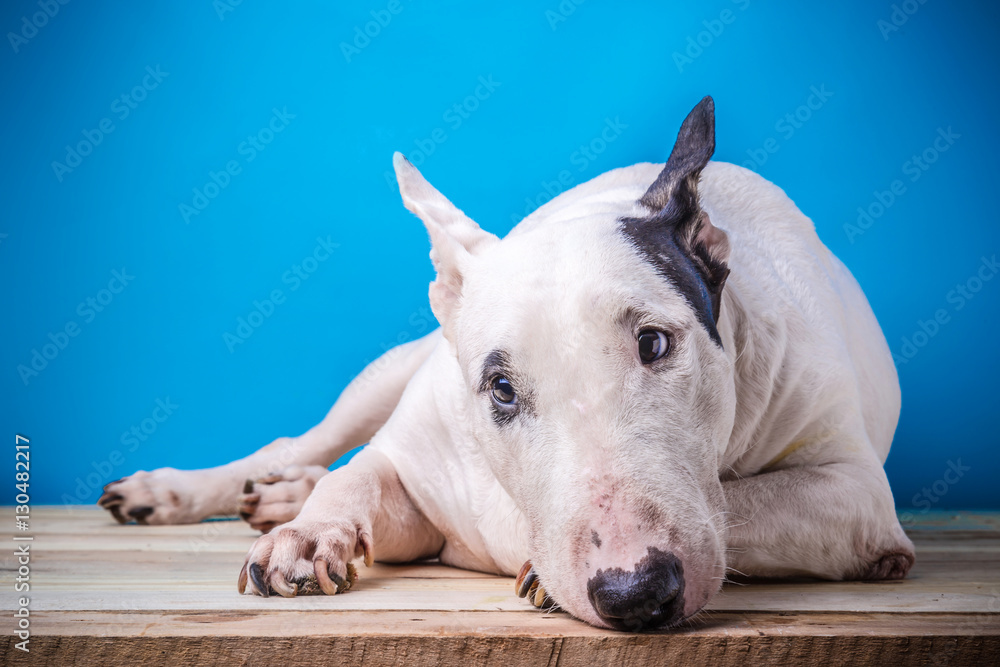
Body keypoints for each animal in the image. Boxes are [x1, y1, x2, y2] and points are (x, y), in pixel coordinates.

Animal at [99, 98, 916, 632]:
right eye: (500, 388)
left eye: (655, 344)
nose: (636, 591)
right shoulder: (416, 467)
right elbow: (359, 473)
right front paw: (307, 534)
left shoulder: (853, 493)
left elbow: (743, 503)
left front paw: (543, 578)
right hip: (388, 371)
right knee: (306, 446)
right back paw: (193, 492)